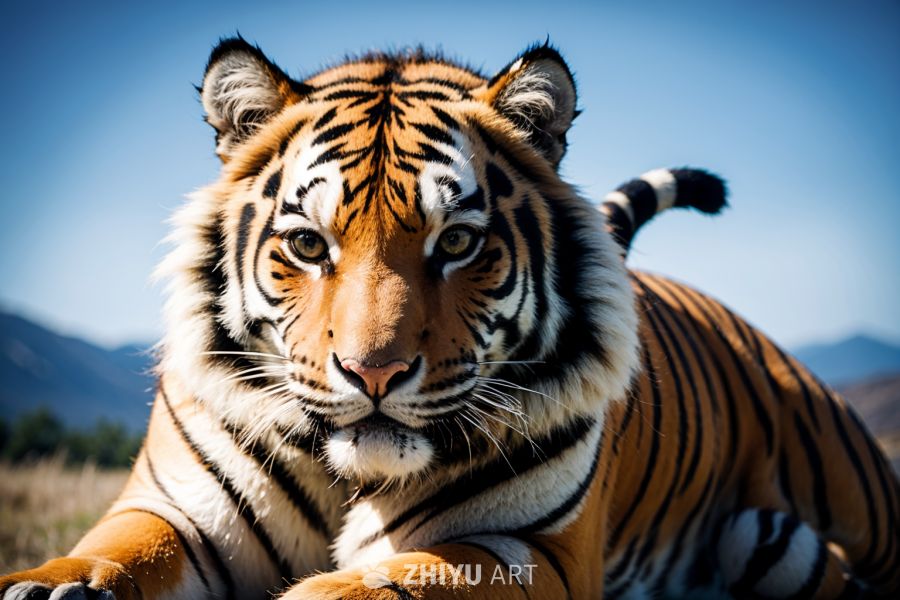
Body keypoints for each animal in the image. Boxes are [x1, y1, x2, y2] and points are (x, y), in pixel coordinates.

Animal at [2, 37, 897, 600]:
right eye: (308, 244)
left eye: (458, 242)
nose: (374, 373)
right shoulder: (177, 513)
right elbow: (111, 553)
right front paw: (47, 588)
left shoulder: (526, 550)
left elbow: (385, 585)